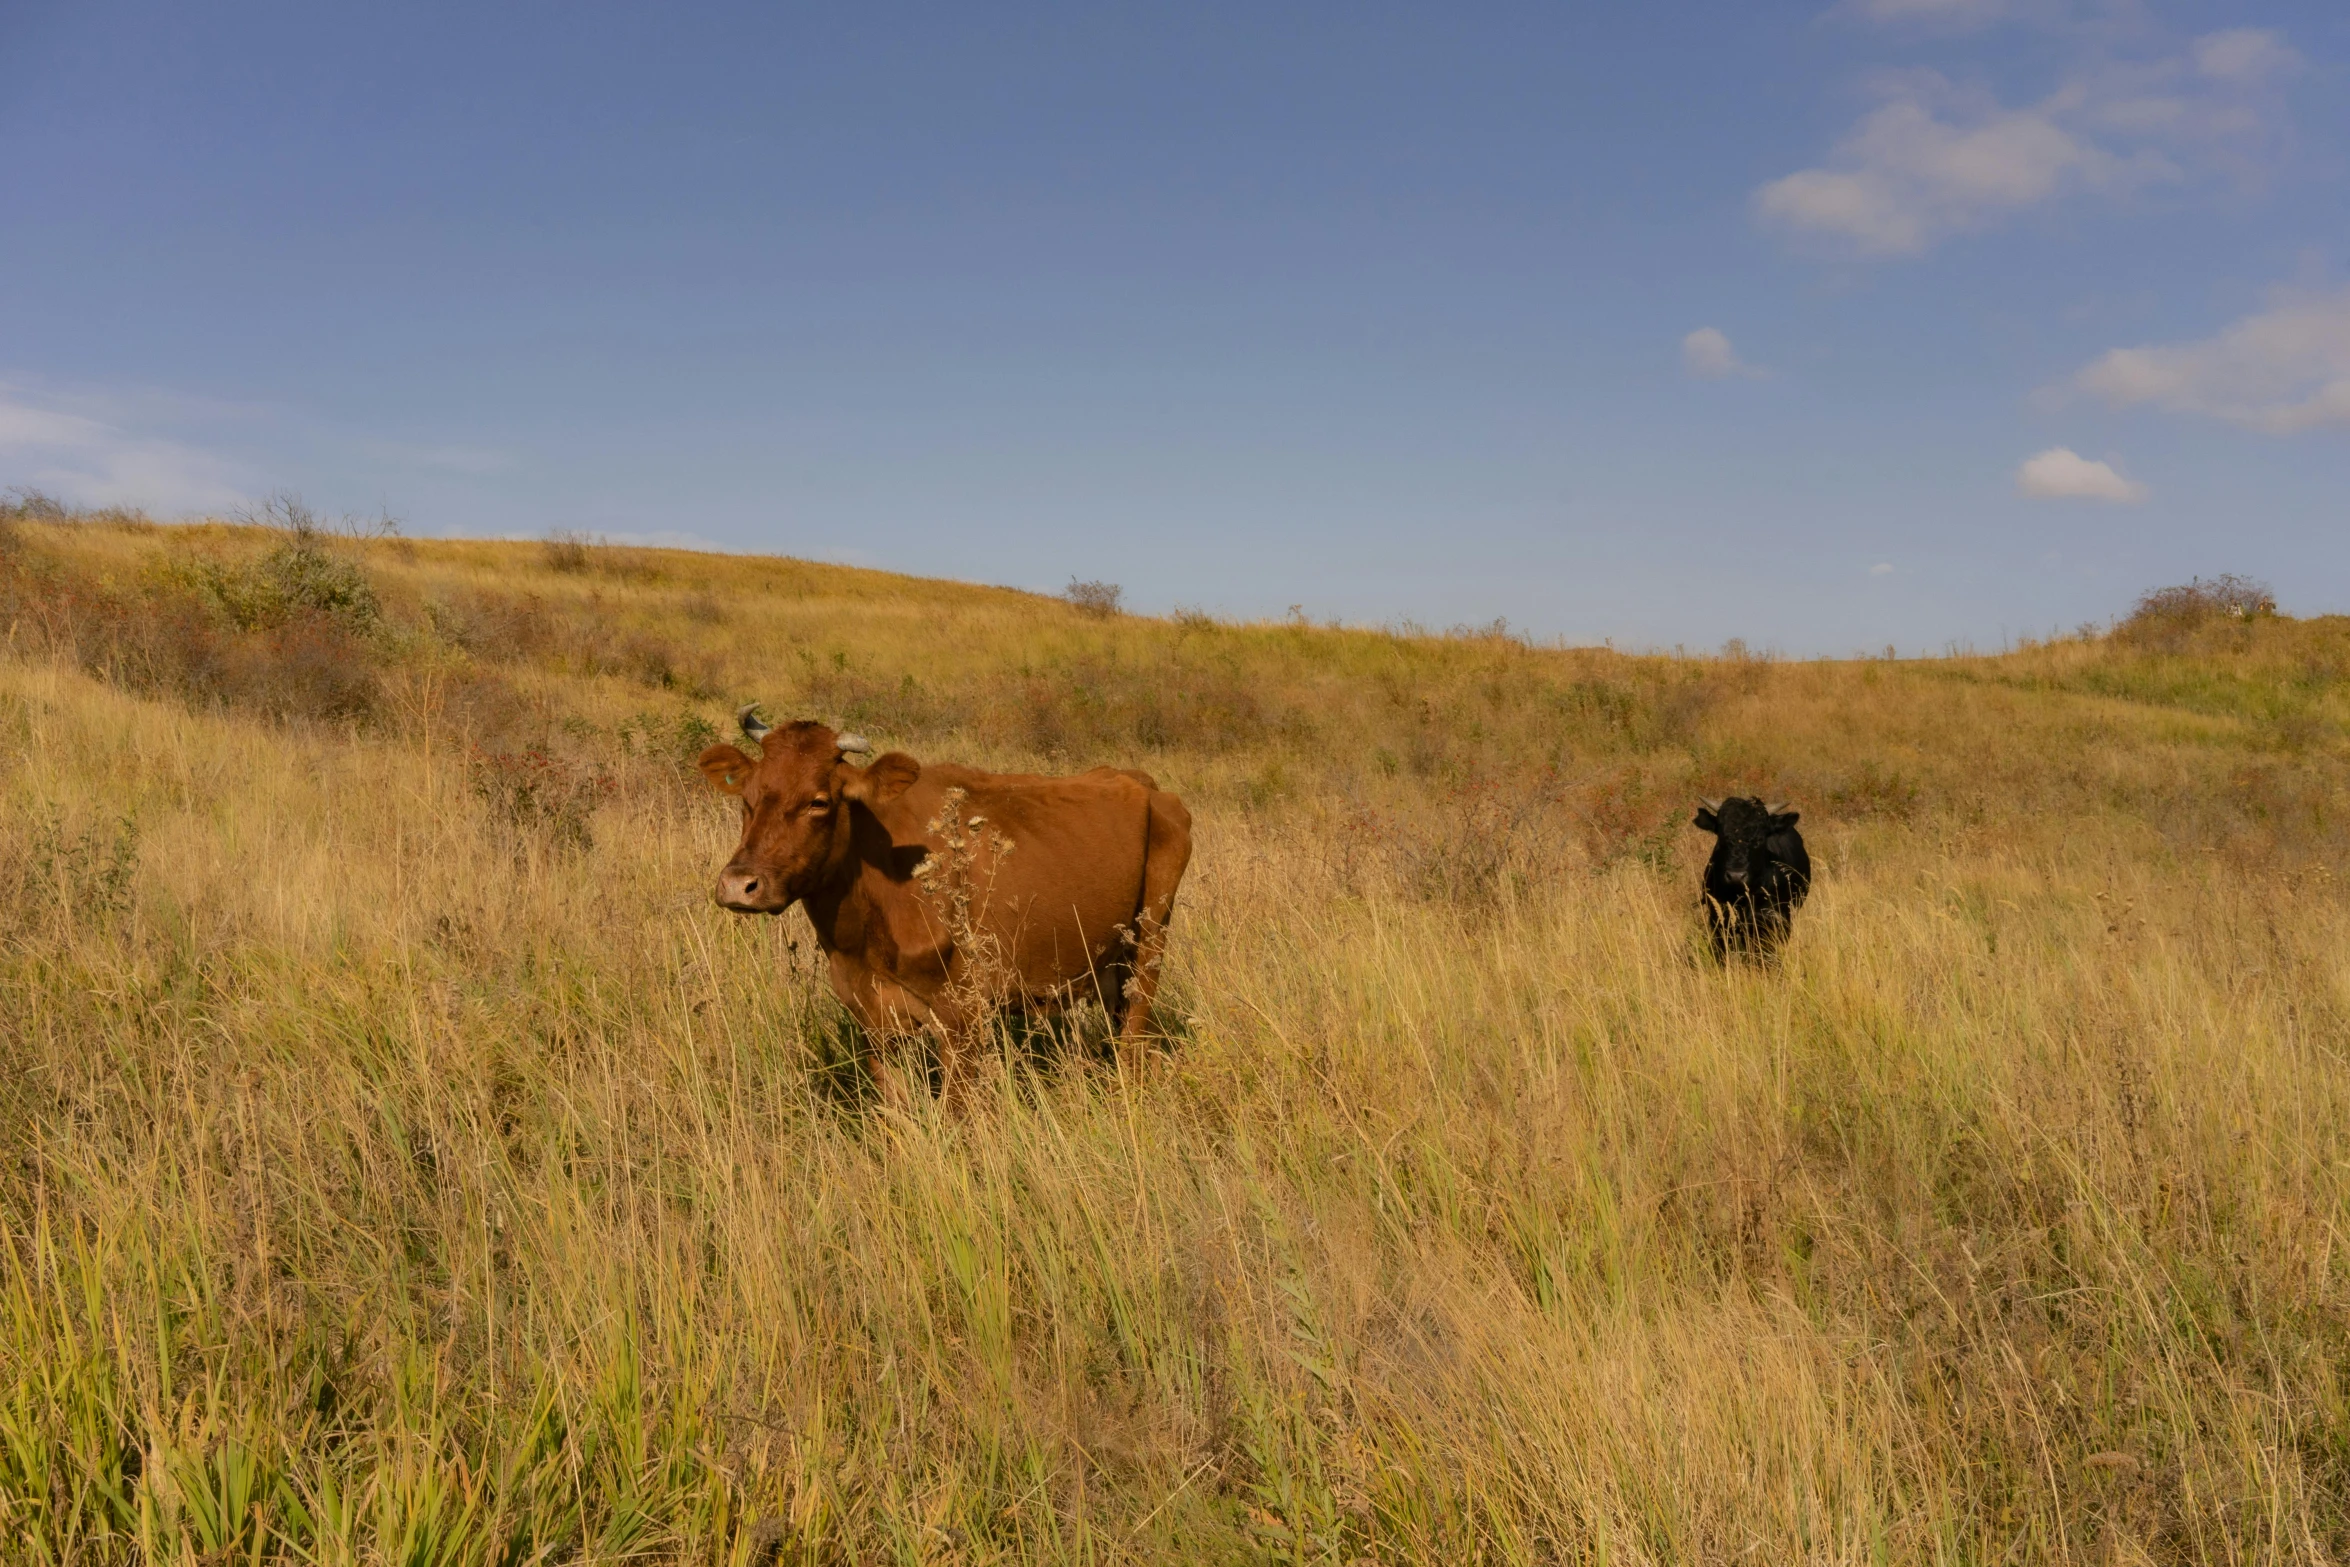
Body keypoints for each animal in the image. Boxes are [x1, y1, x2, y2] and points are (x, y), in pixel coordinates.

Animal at [686, 709, 1184, 1104]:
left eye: (819, 801)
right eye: (748, 797)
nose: (739, 884)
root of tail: (1141, 782)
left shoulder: (963, 1016)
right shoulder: (872, 1018)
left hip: (1148, 945)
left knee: (1134, 1044)